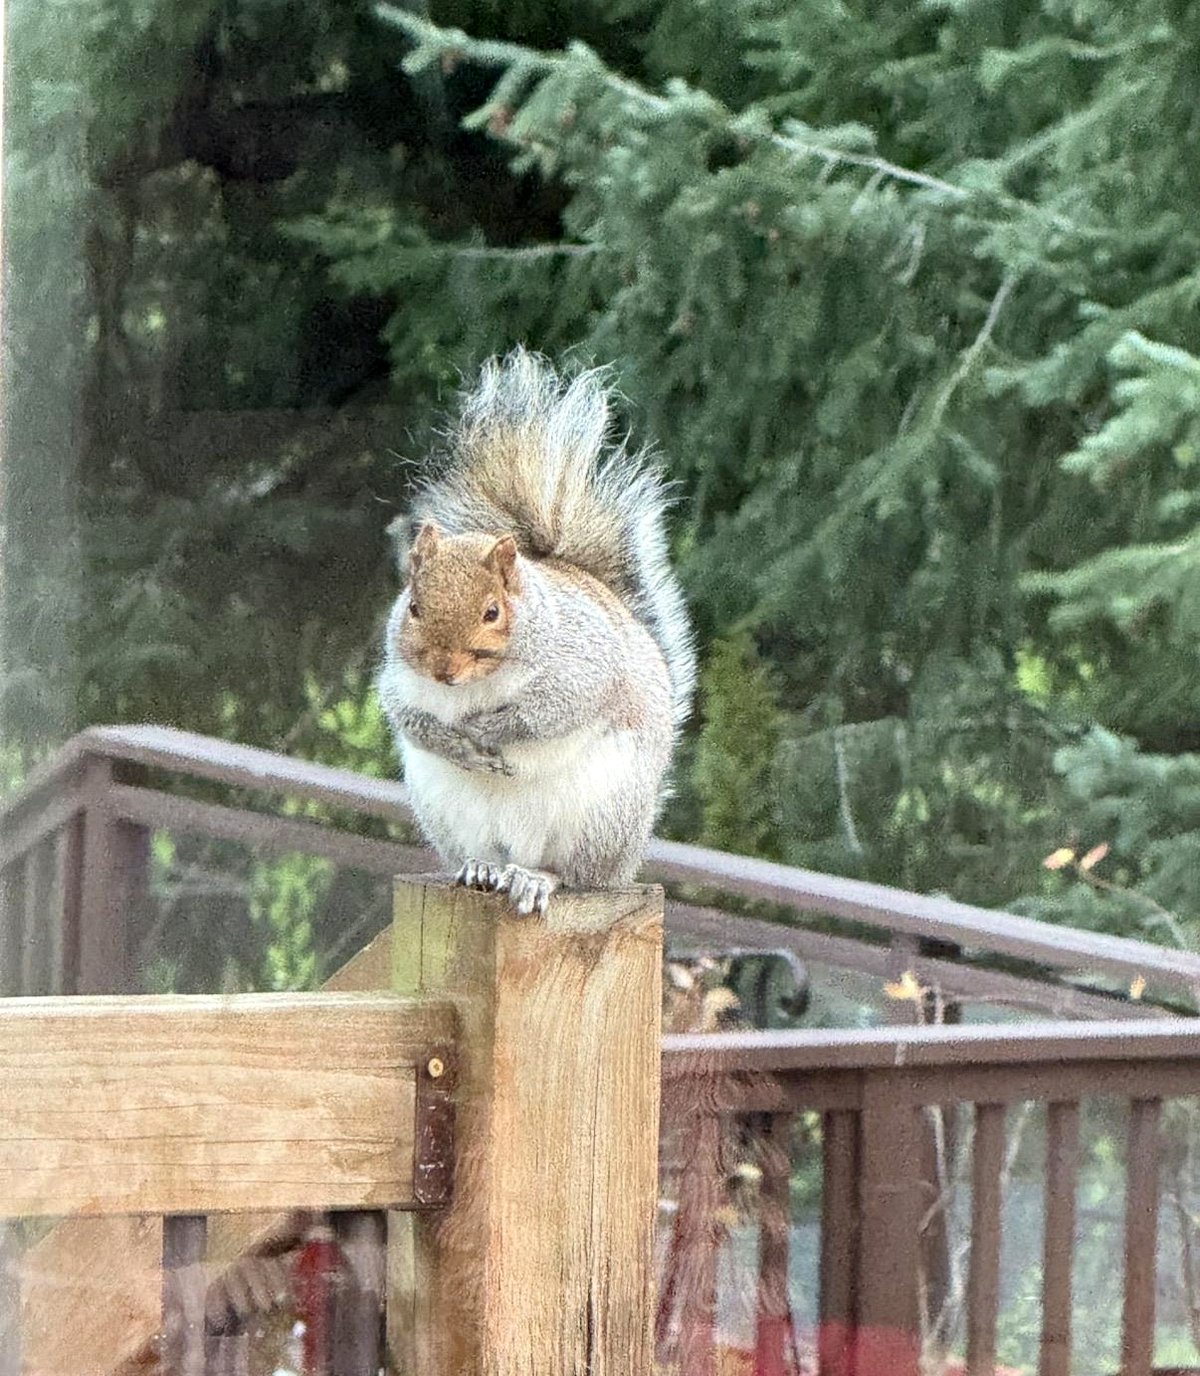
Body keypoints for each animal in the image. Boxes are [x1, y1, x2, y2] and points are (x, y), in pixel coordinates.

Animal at [378, 348, 695, 916]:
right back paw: (483, 868)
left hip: (598, 817)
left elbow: (549, 713)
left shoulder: (580, 667)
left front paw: (490, 729)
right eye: (412, 606)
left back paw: (537, 879)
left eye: (491, 612)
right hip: (449, 813)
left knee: (574, 875)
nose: (443, 671)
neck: (477, 685)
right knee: (489, 855)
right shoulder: (398, 679)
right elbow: (407, 717)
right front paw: (455, 742)